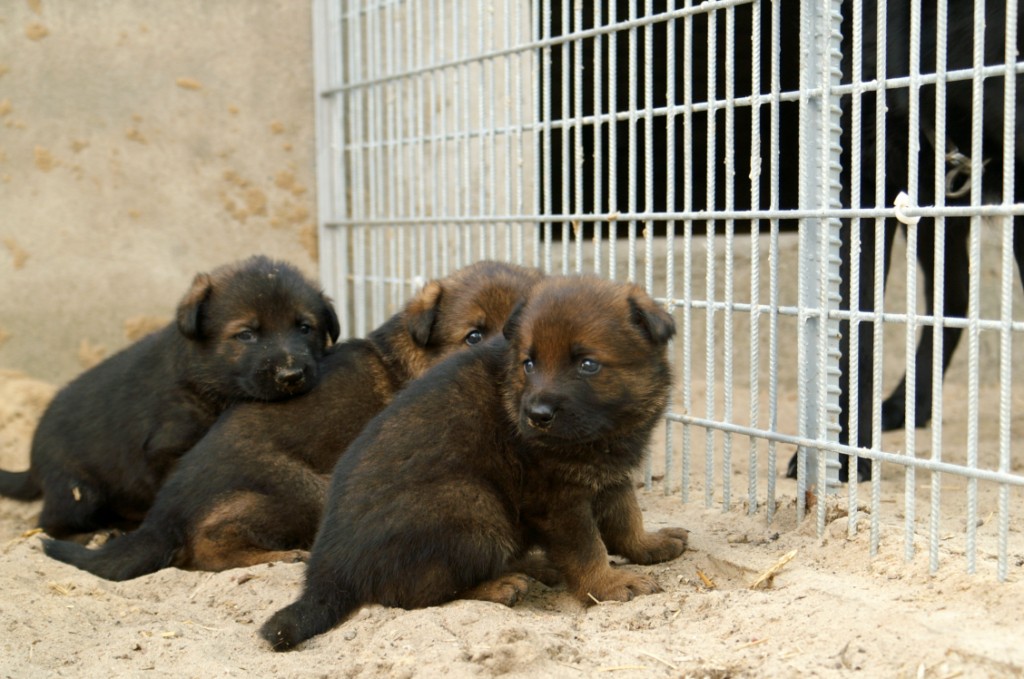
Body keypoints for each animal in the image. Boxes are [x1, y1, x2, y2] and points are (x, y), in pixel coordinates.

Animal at [0, 258, 339, 540]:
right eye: (246, 334)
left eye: (305, 328)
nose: (291, 375)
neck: (206, 379)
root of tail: (33, 462)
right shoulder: (168, 450)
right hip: (77, 489)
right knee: (51, 524)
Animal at [260, 276, 688, 655]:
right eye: (528, 364)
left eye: (587, 364)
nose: (536, 415)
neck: (605, 430)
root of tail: (328, 573)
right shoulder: (558, 502)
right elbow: (587, 549)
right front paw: (608, 585)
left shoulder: (611, 475)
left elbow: (626, 518)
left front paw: (649, 544)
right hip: (473, 503)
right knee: (411, 593)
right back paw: (500, 585)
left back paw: (534, 566)